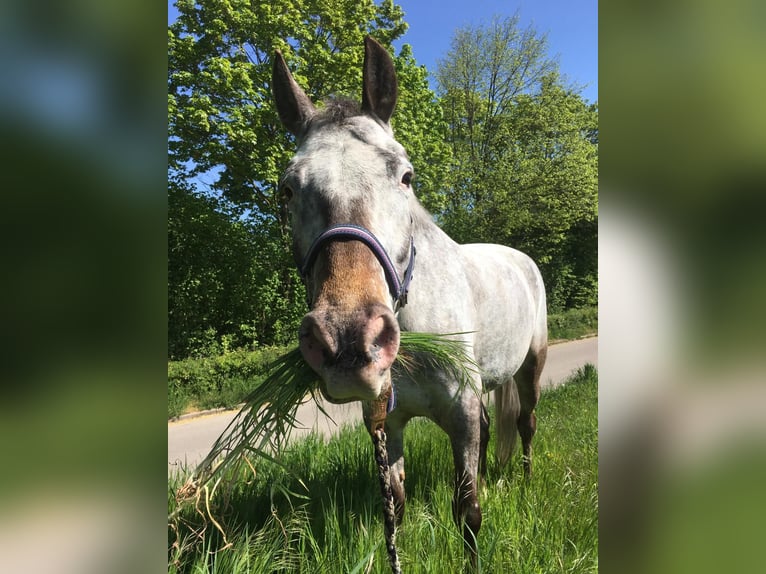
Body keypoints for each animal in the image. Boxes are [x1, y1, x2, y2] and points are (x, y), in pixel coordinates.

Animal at [272, 37, 548, 568]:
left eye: (405, 176)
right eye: (288, 189)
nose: (348, 340)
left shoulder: (461, 414)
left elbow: (468, 511)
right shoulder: (386, 420)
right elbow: (394, 508)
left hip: (531, 365)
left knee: (525, 423)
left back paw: (526, 481)